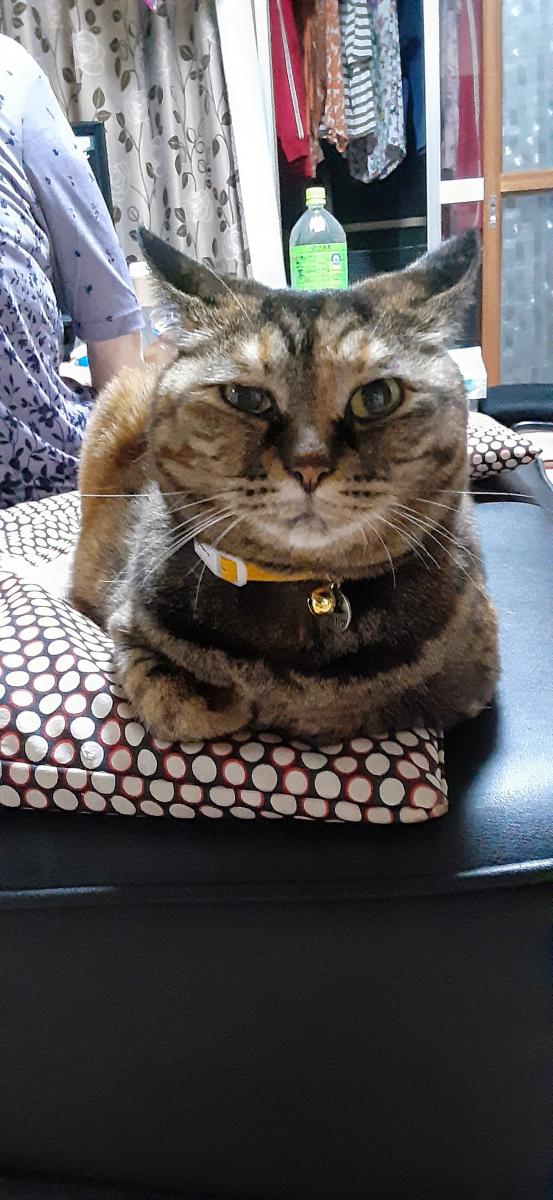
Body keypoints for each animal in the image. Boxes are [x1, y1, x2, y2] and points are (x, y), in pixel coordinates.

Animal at [70, 228, 498, 743]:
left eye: (377, 397)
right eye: (246, 397)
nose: (309, 465)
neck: (312, 594)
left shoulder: (475, 677)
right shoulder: (130, 626)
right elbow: (185, 706)